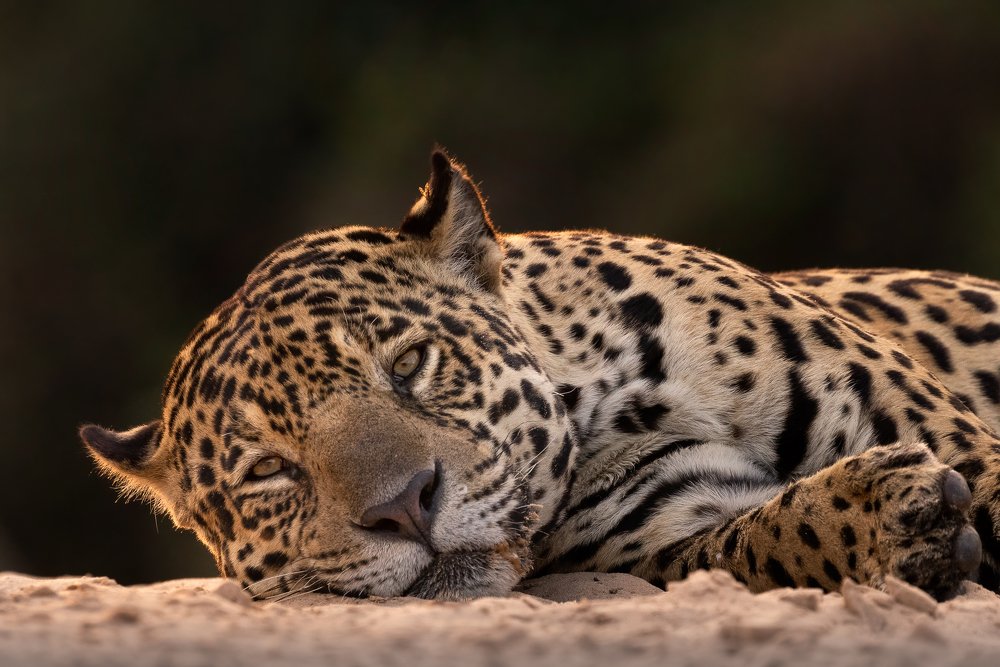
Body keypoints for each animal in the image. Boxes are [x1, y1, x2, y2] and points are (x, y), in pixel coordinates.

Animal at [80, 149, 1000, 602]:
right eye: (270, 470)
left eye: (410, 363)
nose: (404, 507)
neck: (609, 401)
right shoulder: (673, 528)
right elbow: (765, 536)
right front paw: (892, 520)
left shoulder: (948, 430)